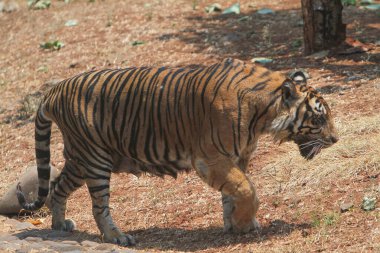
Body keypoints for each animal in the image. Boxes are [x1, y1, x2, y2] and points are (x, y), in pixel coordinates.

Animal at [17, 58, 338, 245]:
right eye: (319, 118)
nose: (335, 139)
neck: (263, 115)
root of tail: (53, 90)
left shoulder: (237, 158)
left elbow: (233, 193)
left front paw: (235, 225)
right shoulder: (211, 159)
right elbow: (247, 190)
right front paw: (246, 222)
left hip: (81, 159)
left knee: (57, 187)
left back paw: (60, 226)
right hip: (95, 160)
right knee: (99, 207)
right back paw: (118, 237)